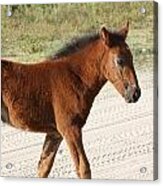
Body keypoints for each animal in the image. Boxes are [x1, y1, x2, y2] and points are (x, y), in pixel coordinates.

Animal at [0, 21, 140, 179]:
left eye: (132, 57)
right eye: (119, 60)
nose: (135, 93)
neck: (75, 77)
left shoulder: (55, 133)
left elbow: (43, 167)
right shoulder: (70, 128)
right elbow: (83, 169)